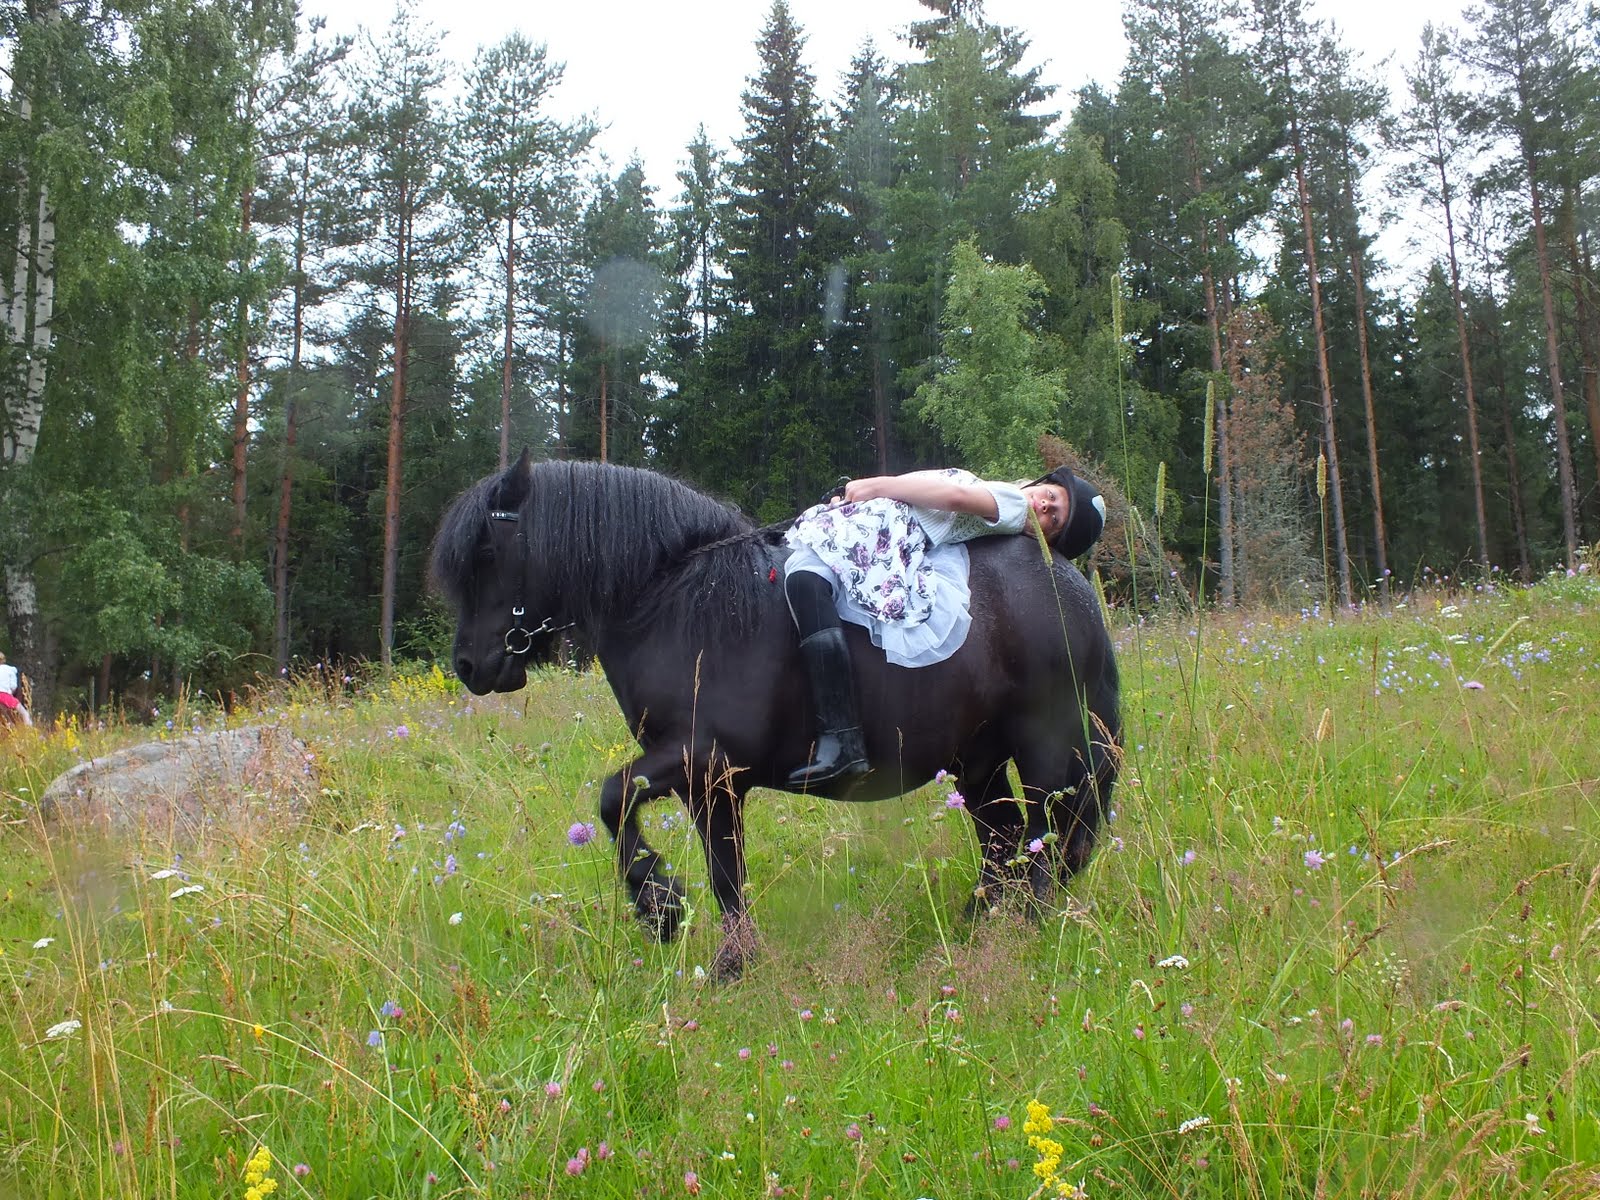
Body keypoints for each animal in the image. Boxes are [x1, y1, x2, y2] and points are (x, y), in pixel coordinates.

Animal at [432, 455, 1121, 979]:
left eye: (487, 550)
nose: (469, 665)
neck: (675, 606)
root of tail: (1073, 587)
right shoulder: (709, 785)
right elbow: (722, 872)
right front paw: (729, 960)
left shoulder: (698, 760)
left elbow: (615, 797)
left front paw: (662, 908)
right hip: (978, 760)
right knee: (1004, 839)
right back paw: (982, 924)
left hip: (1049, 749)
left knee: (1048, 841)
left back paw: (1025, 931)